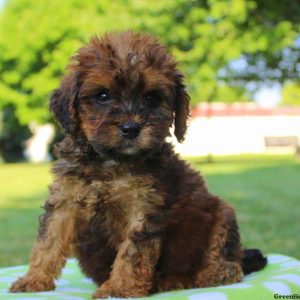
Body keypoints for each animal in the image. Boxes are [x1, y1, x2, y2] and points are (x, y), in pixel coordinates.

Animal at [9, 30, 268, 298]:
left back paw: (216, 272)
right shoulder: (65, 202)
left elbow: (132, 253)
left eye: (152, 98)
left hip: (222, 213)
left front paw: (118, 288)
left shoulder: (143, 210)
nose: (131, 128)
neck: (110, 162)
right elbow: (48, 241)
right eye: (103, 96)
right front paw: (34, 279)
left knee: (221, 254)